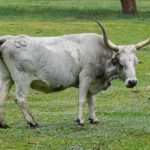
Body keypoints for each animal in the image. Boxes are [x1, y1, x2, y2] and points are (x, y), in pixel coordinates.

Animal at [0, 20, 149, 127]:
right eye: (121, 62)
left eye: (135, 62)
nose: (132, 82)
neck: (100, 52)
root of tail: (10, 39)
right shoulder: (85, 77)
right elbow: (82, 99)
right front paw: (80, 120)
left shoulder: (92, 82)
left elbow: (92, 100)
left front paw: (94, 119)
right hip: (22, 80)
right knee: (20, 98)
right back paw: (32, 122)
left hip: (7, 78)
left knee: (2, 97)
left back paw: (3, 124)